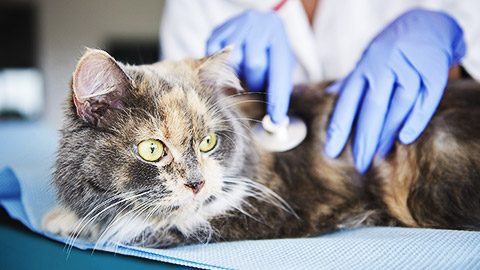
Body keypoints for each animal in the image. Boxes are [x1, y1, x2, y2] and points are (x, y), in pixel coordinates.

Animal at [42, 47, 480, 249]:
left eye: (208, 142)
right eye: (151, 149)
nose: (197, 184)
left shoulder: (276, 208)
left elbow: (147, 226)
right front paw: (64, 217)